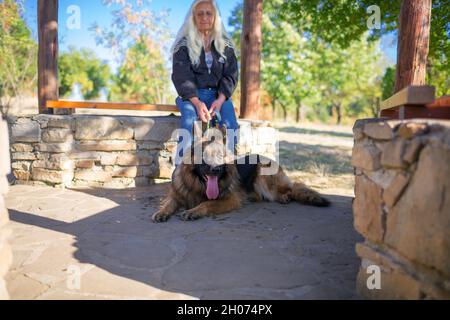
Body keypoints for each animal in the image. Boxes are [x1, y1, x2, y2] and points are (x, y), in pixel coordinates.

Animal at [153, 125, 328, 222]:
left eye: (220, 157)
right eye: (205, 156)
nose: (216, 169)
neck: (198, 186)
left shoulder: (230, 199)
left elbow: (207, 203)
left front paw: (193, 211)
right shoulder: (176, 196)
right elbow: (168, 204)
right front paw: (161, 212)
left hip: (263, 174)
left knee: (291, 189)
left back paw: (284, 196)